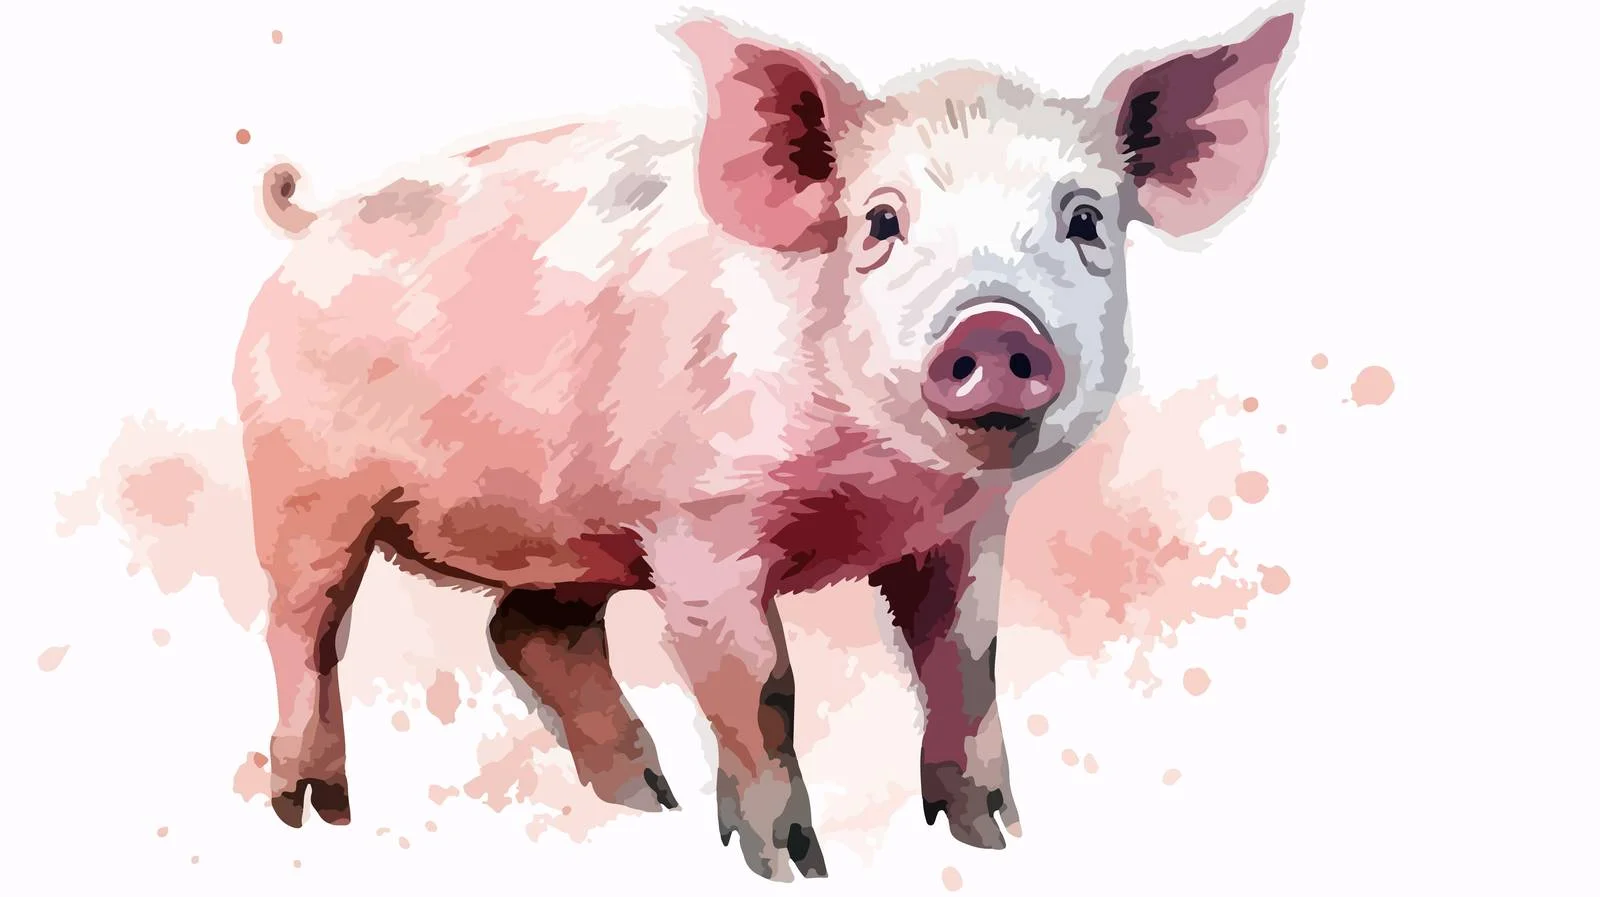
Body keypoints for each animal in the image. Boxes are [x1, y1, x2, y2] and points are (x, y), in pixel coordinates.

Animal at [237, 6, 1299, 882]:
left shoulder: (967, 530)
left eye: (1085, 220)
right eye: (880, 220)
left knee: (525, 632)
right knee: (304, 627)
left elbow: (967, 660)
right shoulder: (698, 529)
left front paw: (993, 836)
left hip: (568, 538)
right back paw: (315, 812)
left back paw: (647, 799)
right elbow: (765, 689)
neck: (877, 490)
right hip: (299, 485)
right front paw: (794, 865)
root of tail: (308, 222)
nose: (996, 329)